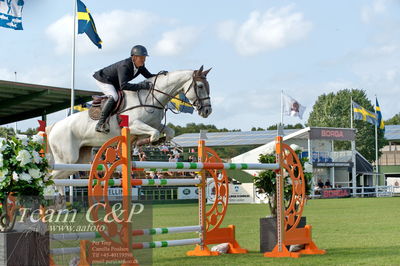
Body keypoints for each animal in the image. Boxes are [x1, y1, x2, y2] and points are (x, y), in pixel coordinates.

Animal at [47, 66, 212, 181]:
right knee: (50, 178)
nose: (207, 111)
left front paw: (157, 141)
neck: (151, 98)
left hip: (76, 161)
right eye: (200, 86)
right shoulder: (133, 125)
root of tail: (54, 127)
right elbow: (153, 133)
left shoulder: (155, 124)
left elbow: (168, 132)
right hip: (67, 158)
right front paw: (147, 142)